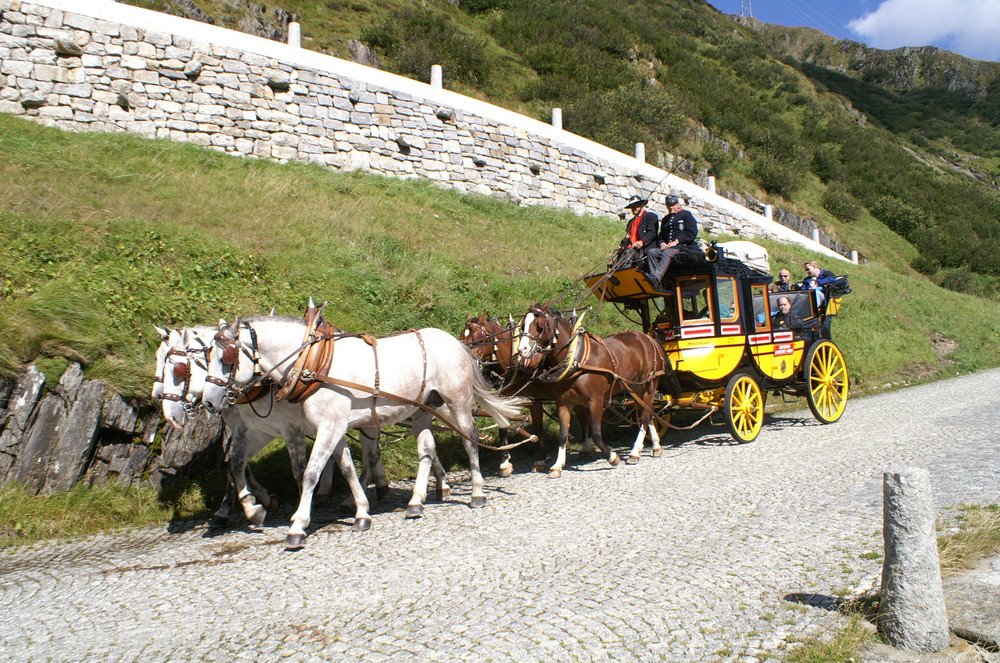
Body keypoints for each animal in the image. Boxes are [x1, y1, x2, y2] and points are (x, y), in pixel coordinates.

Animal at [201, 316, 524, 548]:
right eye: (206, 356)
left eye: (227, 358)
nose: (208, 401)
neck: (315, 364)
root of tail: (456, 343)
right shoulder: (331, 427)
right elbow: (346, 468)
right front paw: (361, 512)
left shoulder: (324, 428)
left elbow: (309, 474)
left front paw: (297, 526)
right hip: (421, 410)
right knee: (425, 451)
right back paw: (416, 502)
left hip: (457, 402)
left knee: (470, 442)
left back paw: (477, 492)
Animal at [516, 300, 672, 478]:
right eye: (523, 324)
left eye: (539, 325)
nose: (522, 351)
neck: (576, 359)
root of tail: (648, 338)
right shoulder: (563, 402)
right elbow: (563, 435)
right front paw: (557, 466)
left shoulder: (595, 401)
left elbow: (596, 433)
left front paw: (612, 457)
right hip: (635, 388)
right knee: (648, 412)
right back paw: (656, 447)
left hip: (649, 384)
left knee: (645, 416)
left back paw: (635, 452)